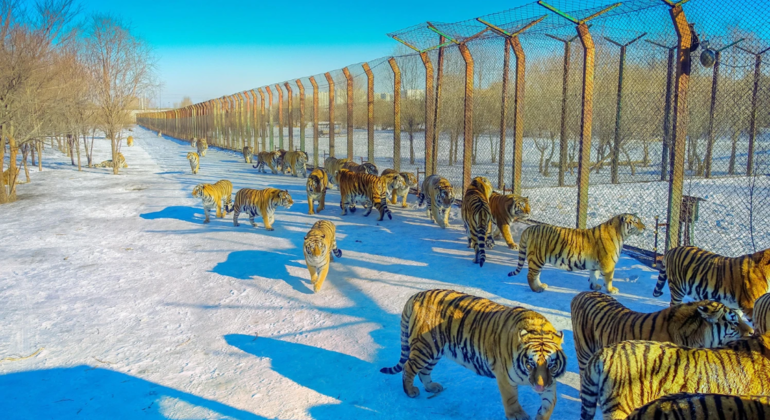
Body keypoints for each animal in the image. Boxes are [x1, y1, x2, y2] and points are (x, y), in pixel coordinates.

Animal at [380, 289, 567, 420]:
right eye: (530, 364)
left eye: (551, 364)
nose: (540, 387)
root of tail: (416, 296)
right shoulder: (505, 377)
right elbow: (511, 399)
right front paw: (517, 415)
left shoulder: (550, 382)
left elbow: (549, 405)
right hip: (425, 347)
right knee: (409, 367)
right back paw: (410, 391)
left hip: (434, 350)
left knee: (423, 371)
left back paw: (431, 387)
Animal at [508, 213, 646, 294]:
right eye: (635, 221)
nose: (644, 228)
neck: (622, 235)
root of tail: (530, 228)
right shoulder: (608, 264)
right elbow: (608, 279)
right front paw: (611, 290)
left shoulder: (596, 264)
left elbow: (594, 275)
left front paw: (594, 287)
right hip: (537, 258)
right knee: (531, 275)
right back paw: (537, 289)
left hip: (538, 259)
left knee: (536, 275)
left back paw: (541, 286)